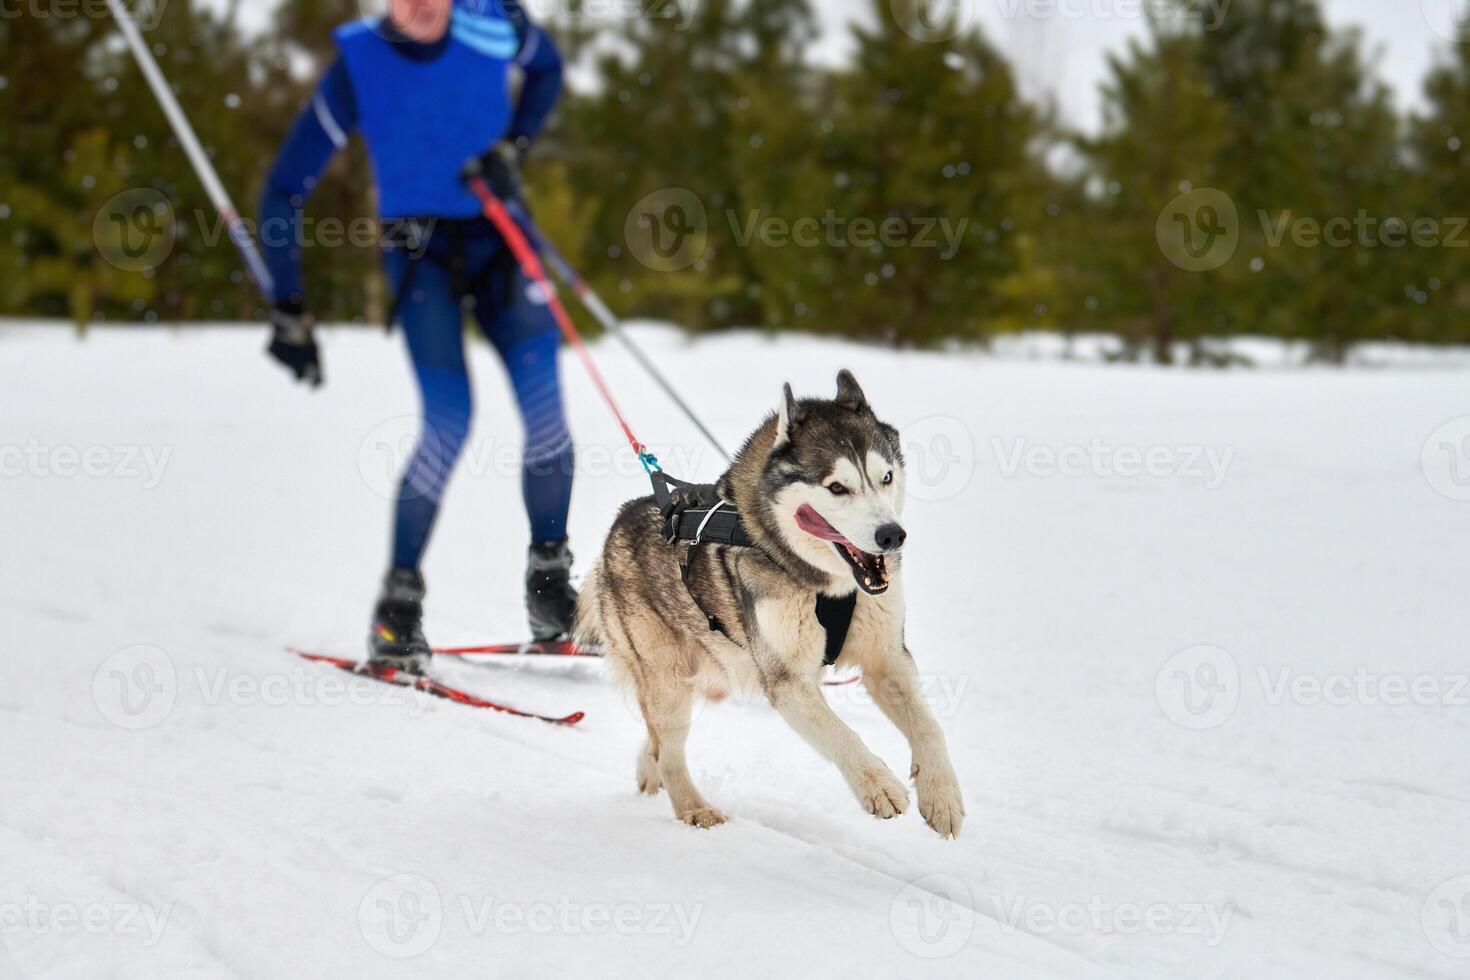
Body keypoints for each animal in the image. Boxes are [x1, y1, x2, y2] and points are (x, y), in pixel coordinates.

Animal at [579, 371, 970, 840]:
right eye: (836, 487)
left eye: (886, 477)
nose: (892, 535)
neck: (827, 588)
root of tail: (619, 523)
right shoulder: (787, 681)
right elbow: (840, 734)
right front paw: (878, 785)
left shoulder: (887, 657)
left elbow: (929, 726)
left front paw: (942, 794)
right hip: (669, 677)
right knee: (669, 750)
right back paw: (694, 809)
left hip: (715, 673)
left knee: (655, 743)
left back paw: (649, 771)